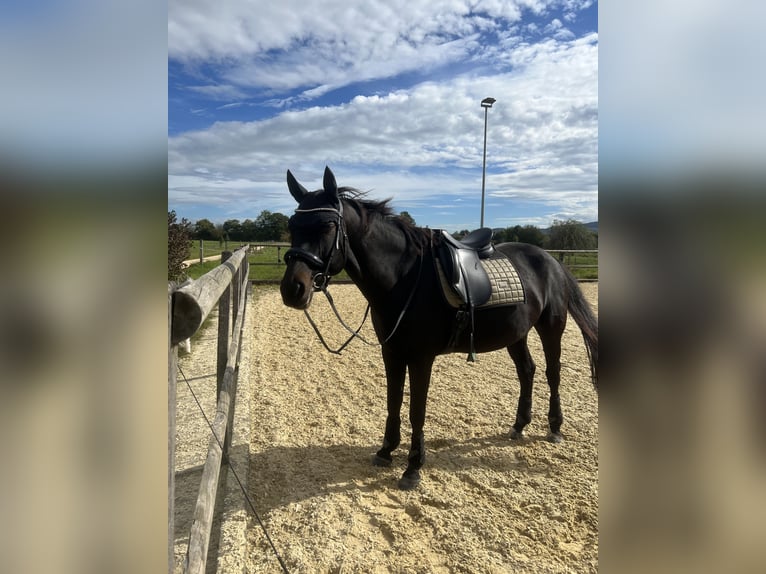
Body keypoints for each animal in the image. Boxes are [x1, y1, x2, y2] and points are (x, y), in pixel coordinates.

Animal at [280, 166, 596, 490]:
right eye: (292, 225)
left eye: (328, 226)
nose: (293, 289)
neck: (404, 278)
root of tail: (550, 260)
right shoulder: (391, 352)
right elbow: (393, 403)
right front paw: (386, 451)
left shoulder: (421, 358)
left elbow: (416, 411)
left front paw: (413, 468)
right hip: (515, 333)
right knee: (527, 370)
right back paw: (519, 425)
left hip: (551, 327)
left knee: (552, 373)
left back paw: (555, 428)